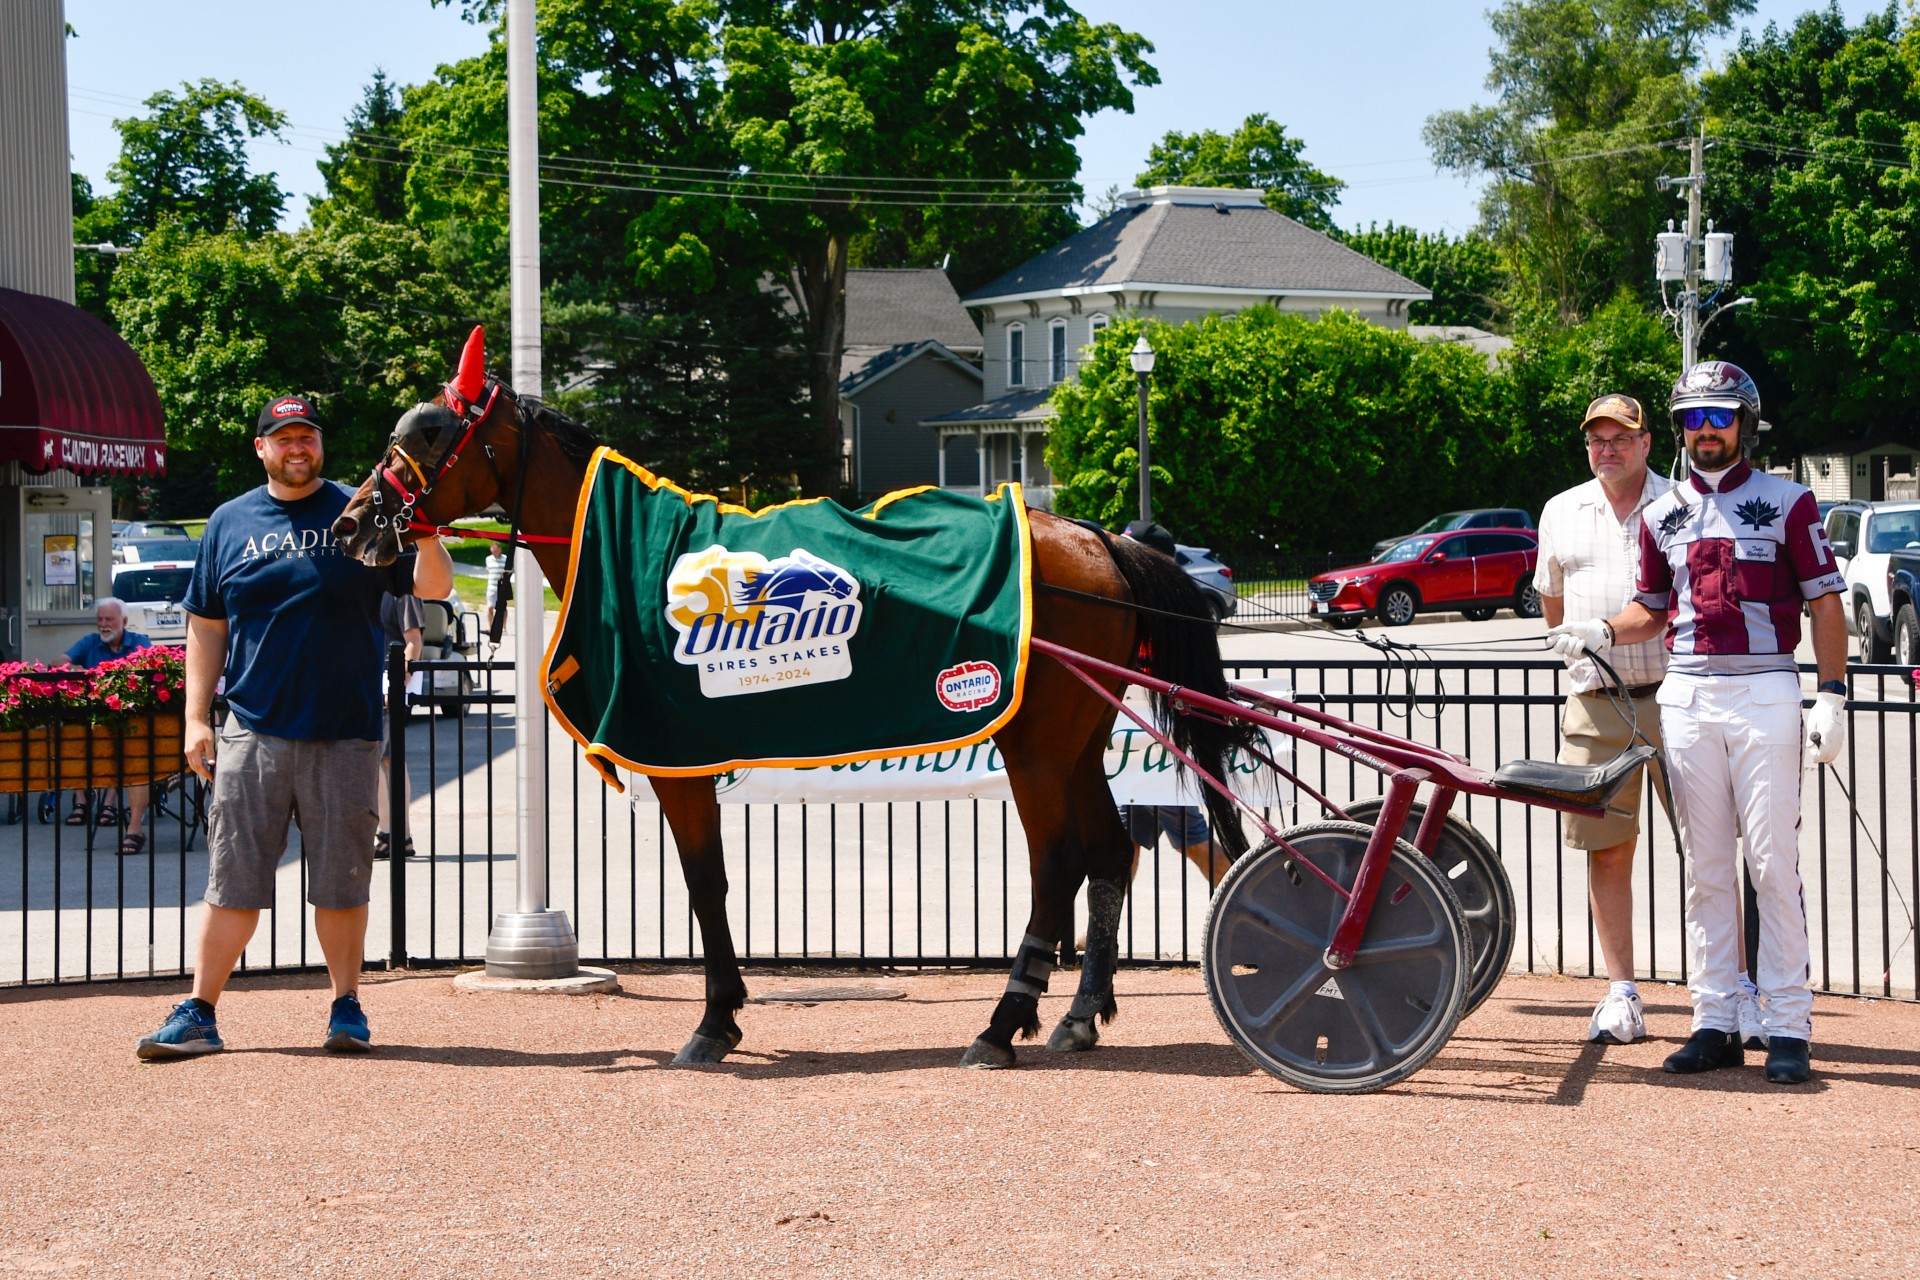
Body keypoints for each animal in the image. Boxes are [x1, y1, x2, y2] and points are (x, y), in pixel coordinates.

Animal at [334, 326, 1259, 1066]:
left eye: (428, 433)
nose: (352, 522)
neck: (626, 552)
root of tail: (1097, 540)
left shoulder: (677, 762)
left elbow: (706, 885)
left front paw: (715, 1020)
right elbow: (709, 887)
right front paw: (727, 1011)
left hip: (1035, 745)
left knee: (1059, 864)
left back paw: (1003, 1025)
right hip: (1076, 738)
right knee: (1111, 853)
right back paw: (1077, 1015)